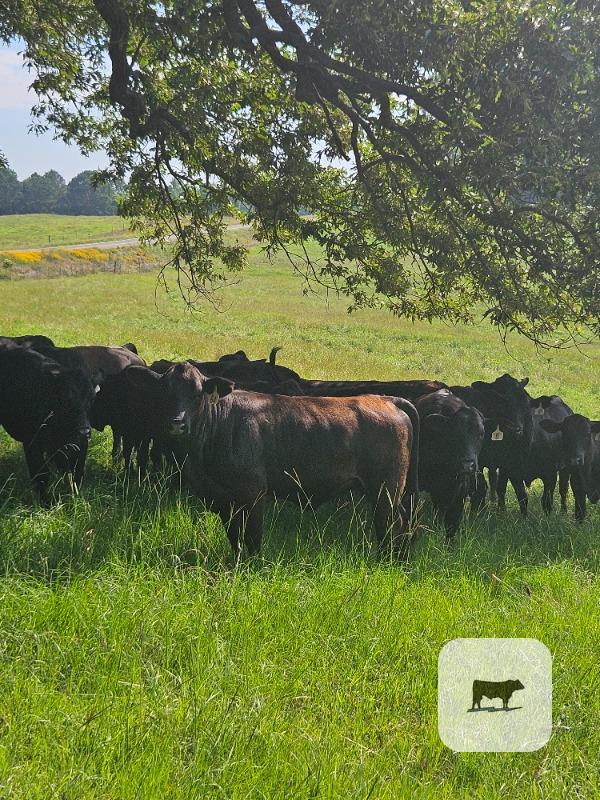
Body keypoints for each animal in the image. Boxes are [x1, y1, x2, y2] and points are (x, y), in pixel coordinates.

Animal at [0, 345, 98, 502]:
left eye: (92, 399)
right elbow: (42, 475)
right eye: (65, 399)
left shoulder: (79, 445)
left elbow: (76, 473)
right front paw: (46, 503)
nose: (84, 431)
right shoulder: (32, 443)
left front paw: (77, 500)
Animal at [124, 362, 417, 560]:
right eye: (163, 393)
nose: (176, 423)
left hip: (384, 490)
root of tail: (385, 399)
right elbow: (234, 537)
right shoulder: (223, 498)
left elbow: (252, 537)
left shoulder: (253, 494)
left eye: (198, 395)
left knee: (390, 524)